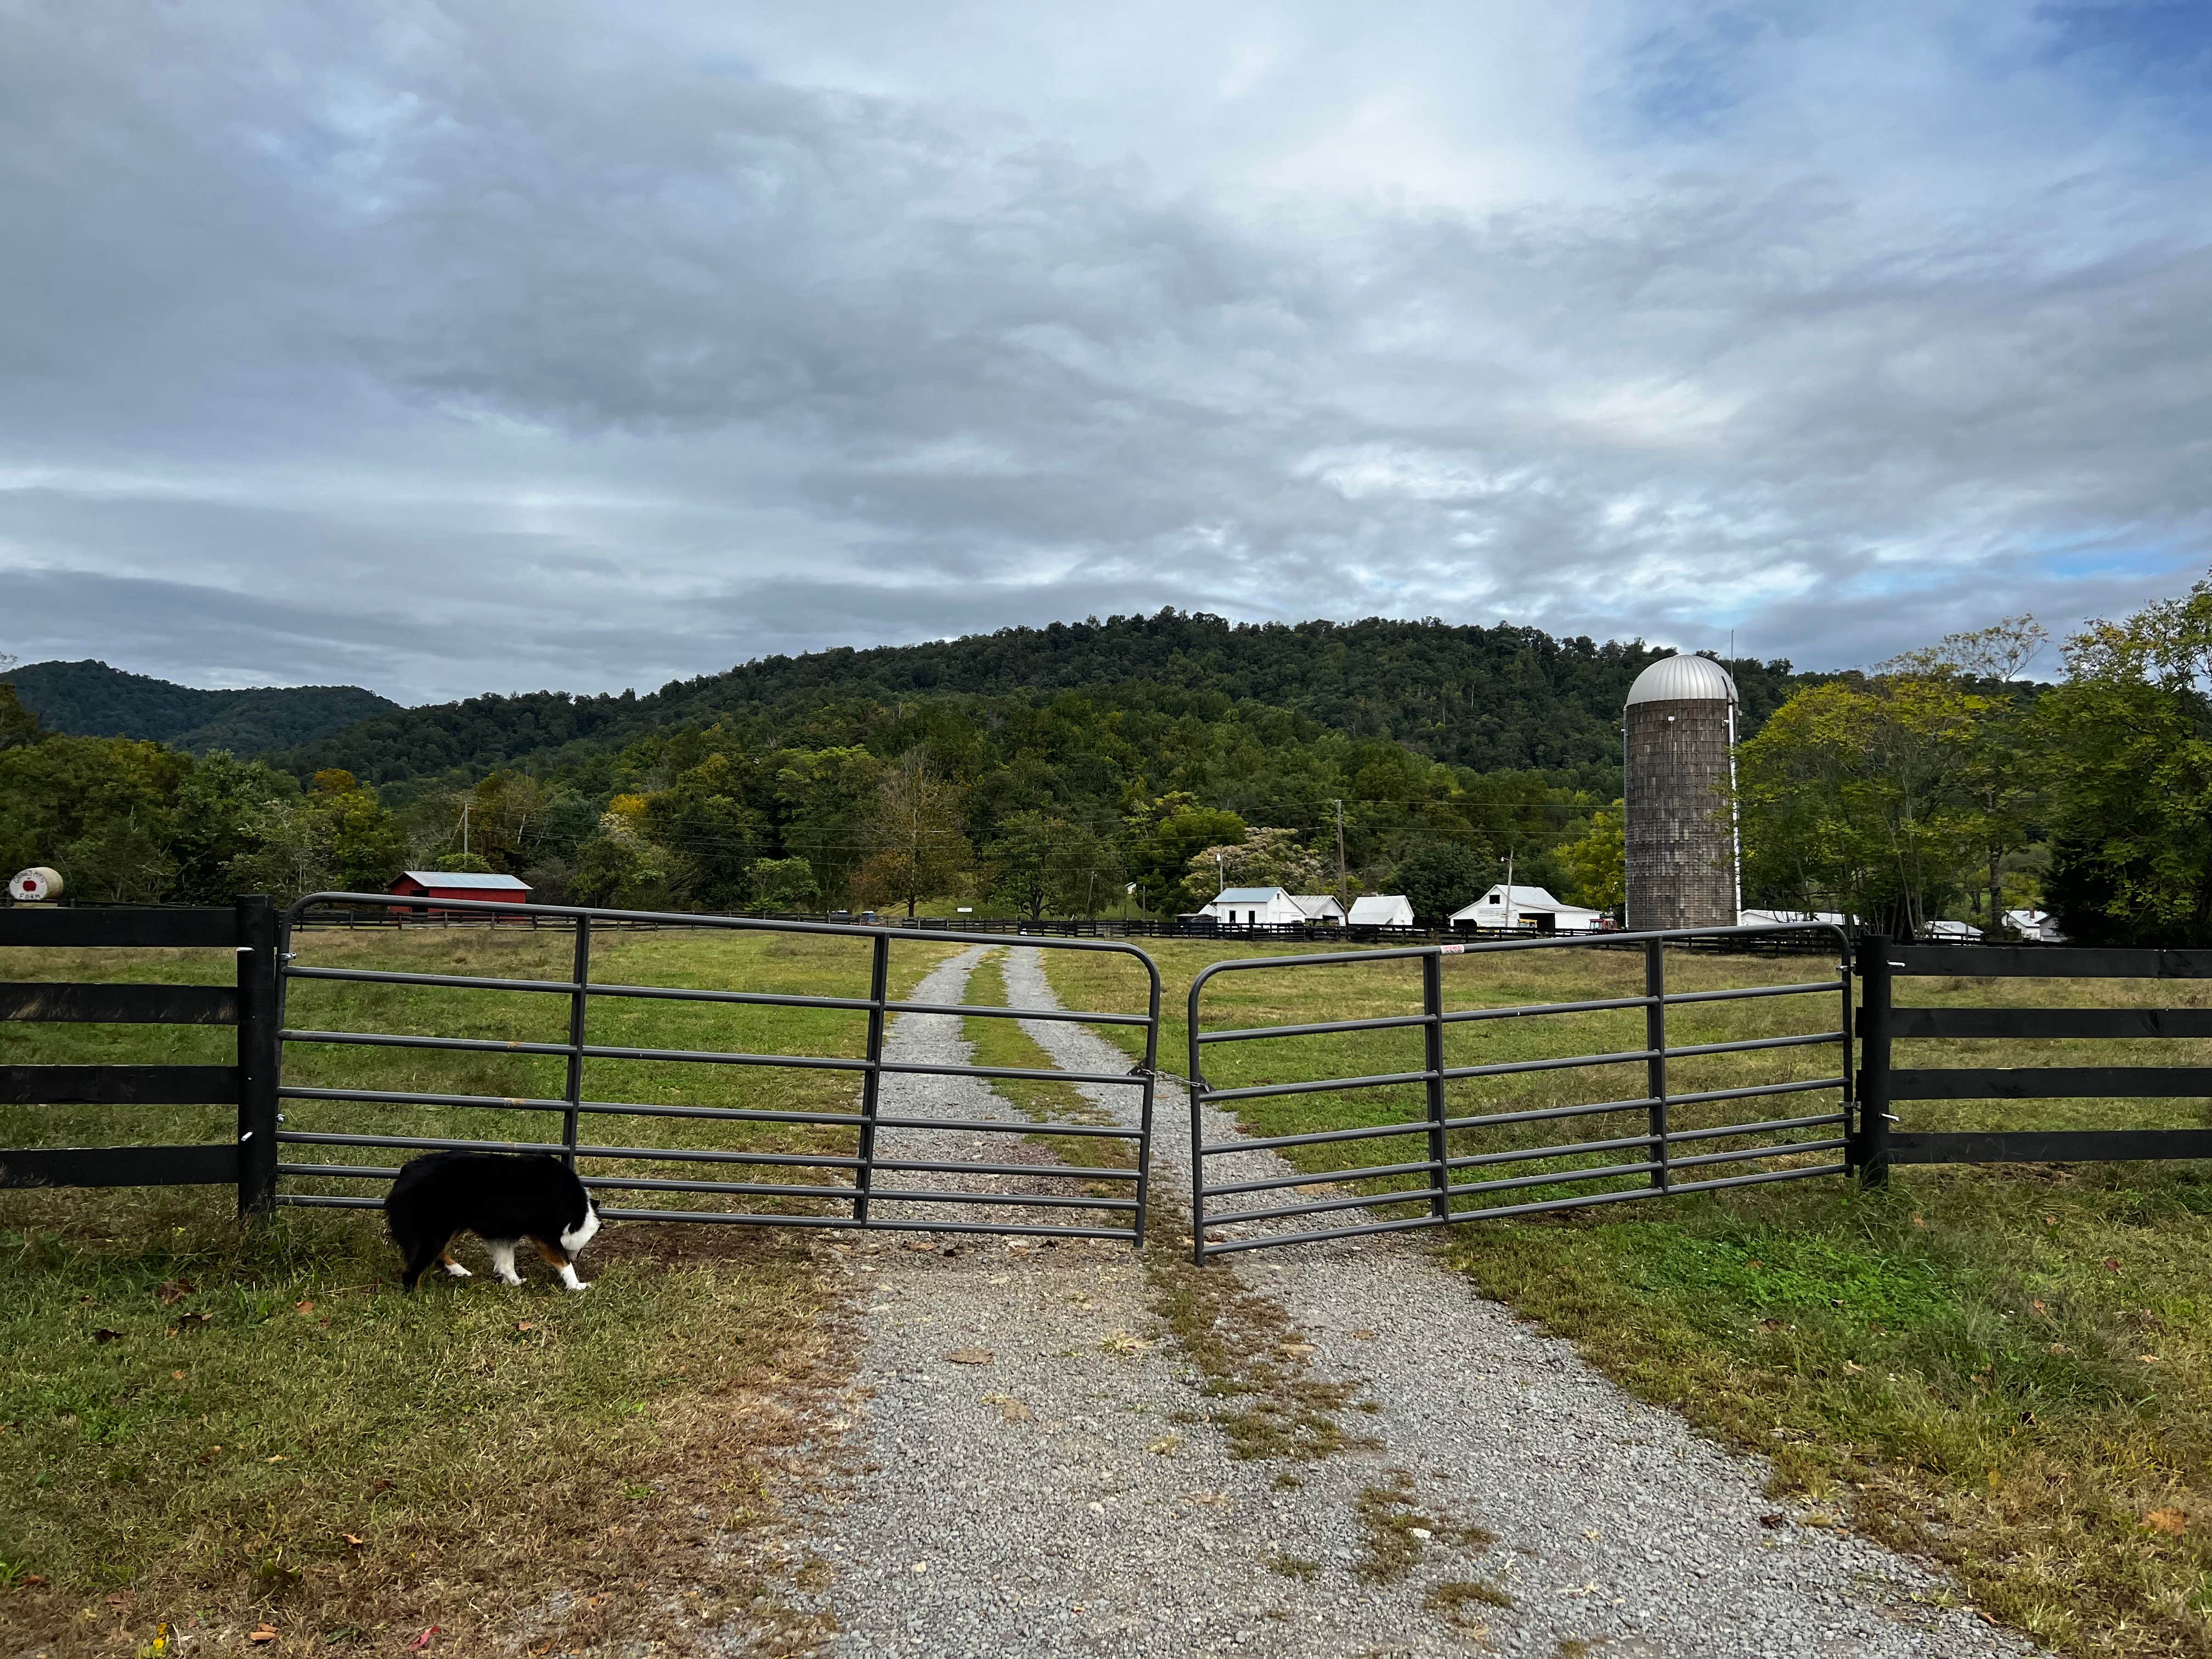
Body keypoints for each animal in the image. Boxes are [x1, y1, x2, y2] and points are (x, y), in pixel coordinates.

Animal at [385, 1159, 601, 1300]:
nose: (578, 1257)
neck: (578, 1212)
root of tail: (405, 1173)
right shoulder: (544, 1235)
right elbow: (564, 1262)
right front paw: (578, 1286)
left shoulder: (505, 1234)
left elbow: (506, 1261)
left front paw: (513, 1281)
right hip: (437, 1232)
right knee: (412, 1273)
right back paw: (418, 1298)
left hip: (453, 1227)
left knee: (438, 1254)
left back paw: (458, 1270)